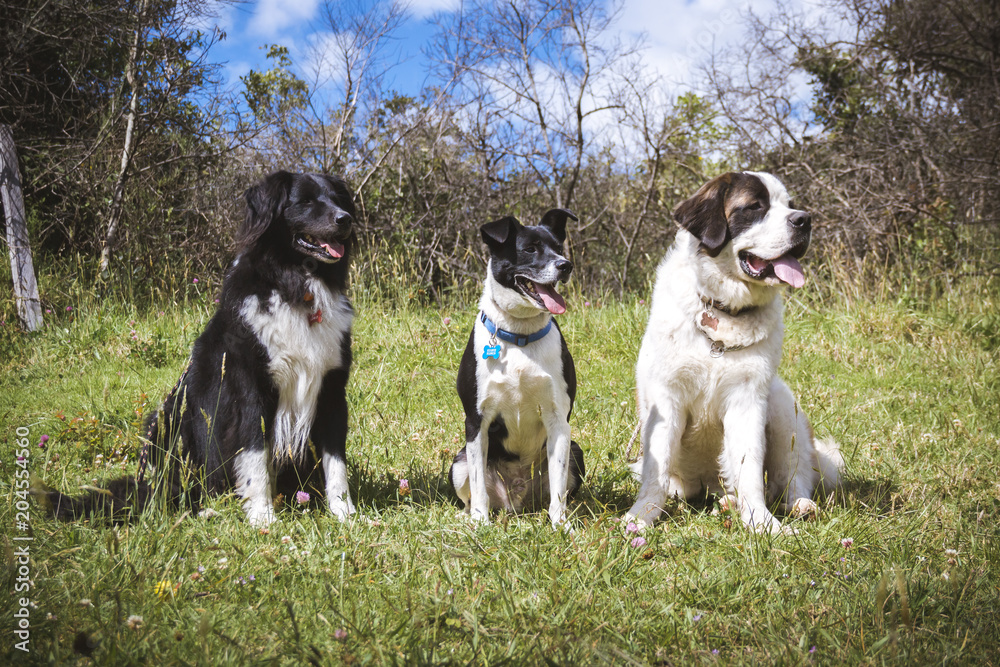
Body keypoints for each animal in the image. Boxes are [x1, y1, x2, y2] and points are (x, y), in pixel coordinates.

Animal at [40, 172, 360, 528]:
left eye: (339, 200)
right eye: (305, 201)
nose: (345, 220)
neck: (296, 285)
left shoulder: (331, 387)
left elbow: (336, 460)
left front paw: (344, 512)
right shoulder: (249, 388)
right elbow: (254, 454)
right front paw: (262, 517)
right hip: (168, 420)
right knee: (176, 488)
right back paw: (203, 508)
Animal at [628, 174, 840, 536]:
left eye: (789, 205)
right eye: (754, 207)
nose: (804, 219)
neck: (724, 311)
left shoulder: (747, 399)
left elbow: (750, 468)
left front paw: (763, 524)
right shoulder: (666, 398)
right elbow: (656, 468)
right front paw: (640, 517)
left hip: (783, 406)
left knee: (791, 475)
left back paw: (797, 505)